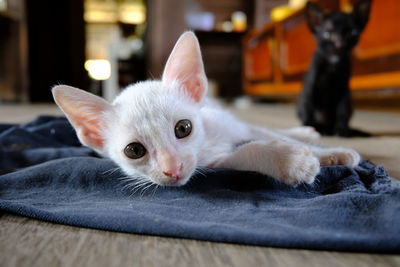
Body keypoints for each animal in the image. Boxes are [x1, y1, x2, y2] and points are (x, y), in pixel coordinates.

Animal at [51, 32, 360, 187]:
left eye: (183, 128)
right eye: (134, 150)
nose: (172, 170)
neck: (208, 142)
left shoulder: (234, 126)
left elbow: (270, 136)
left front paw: (331, 153)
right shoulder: (216, 165)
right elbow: (247, 153)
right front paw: (292, 161)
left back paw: (306, 132)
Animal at [296, 0, 372, 137]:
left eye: (352, 32)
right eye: (328, 34)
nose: (339, 43)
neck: (333, 61)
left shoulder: (343, 88)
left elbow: (342, 110)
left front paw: (342, 130)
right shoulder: (311, 83)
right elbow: (308, 106)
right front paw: (309, 128)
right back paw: (321, 128)